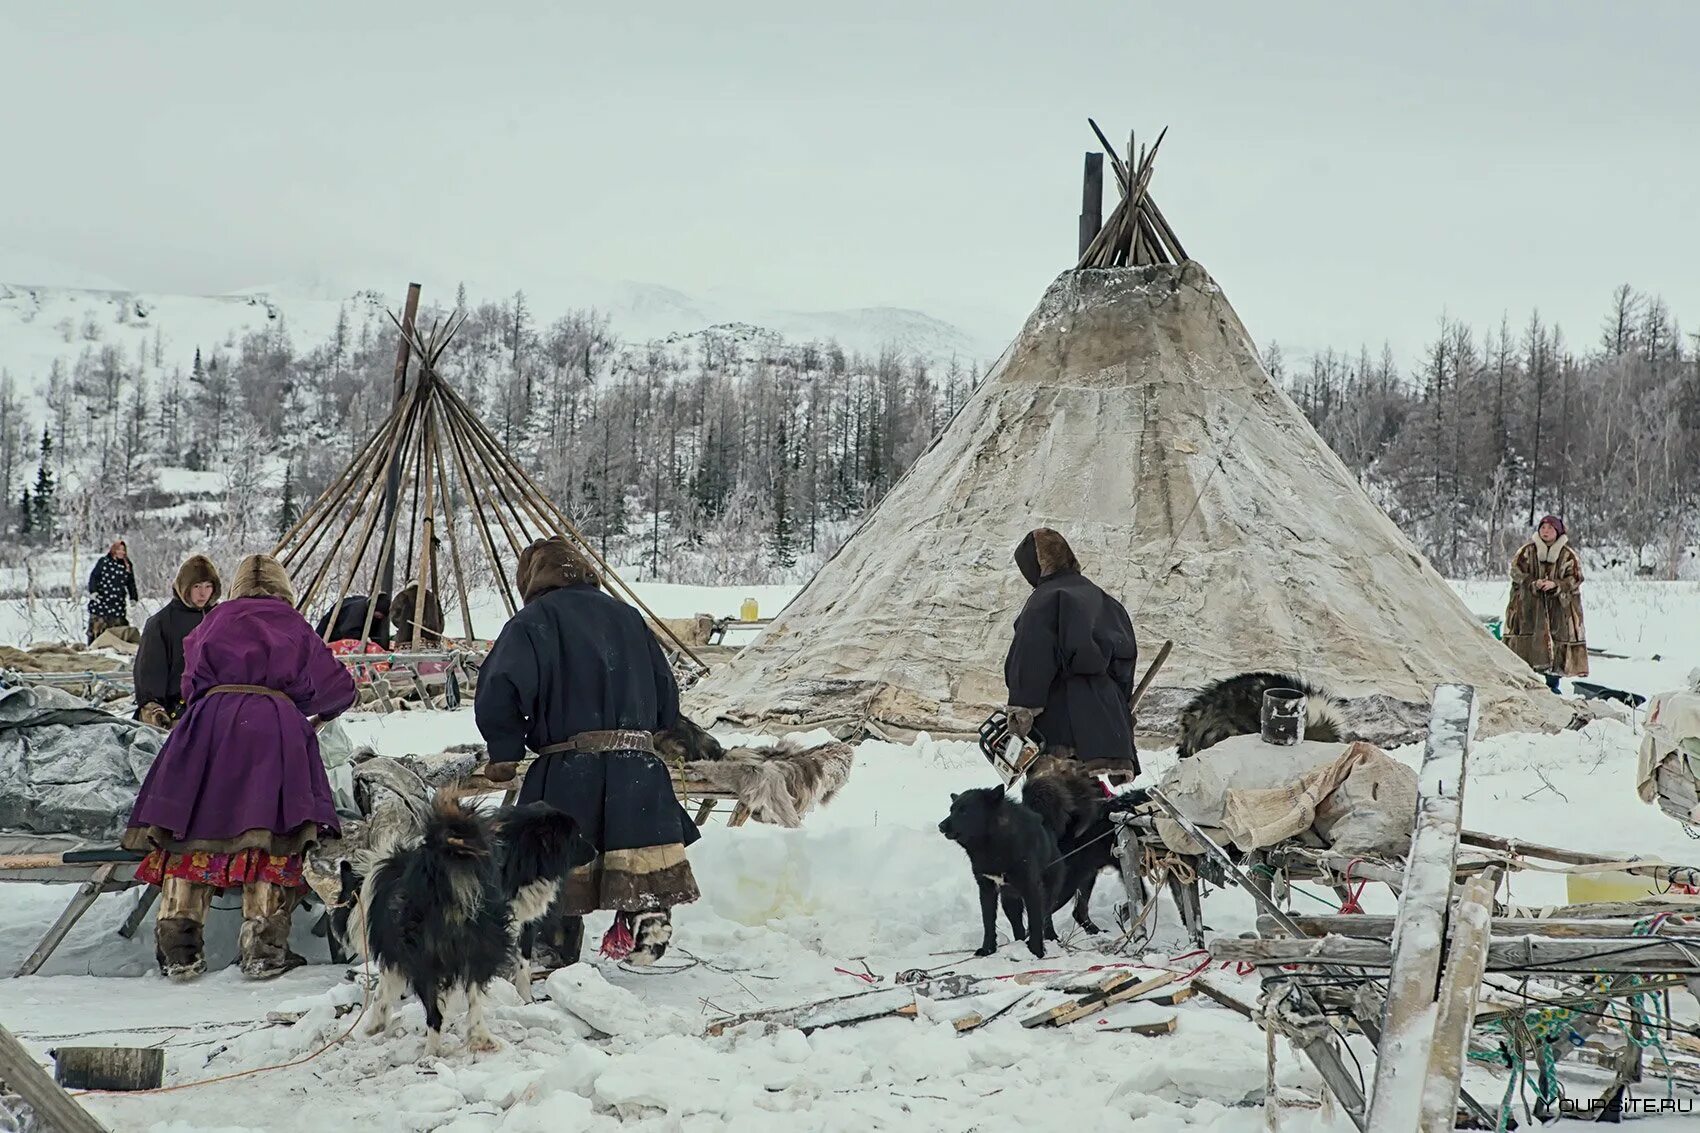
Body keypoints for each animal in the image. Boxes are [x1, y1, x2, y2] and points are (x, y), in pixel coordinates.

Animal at [945, 785, 1060, 952]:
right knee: (1019, 928)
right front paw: (987, 949)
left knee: (1047, 916)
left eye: (964, 811)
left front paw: (1036, 951)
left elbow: (1035, 922)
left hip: (1046, 893)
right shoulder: (987, 888)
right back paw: (1019, 944)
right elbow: (988, 923)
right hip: (1010, 901)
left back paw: (1051, 937)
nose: (941, 826)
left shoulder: (1031, 889)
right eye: (951, 810)